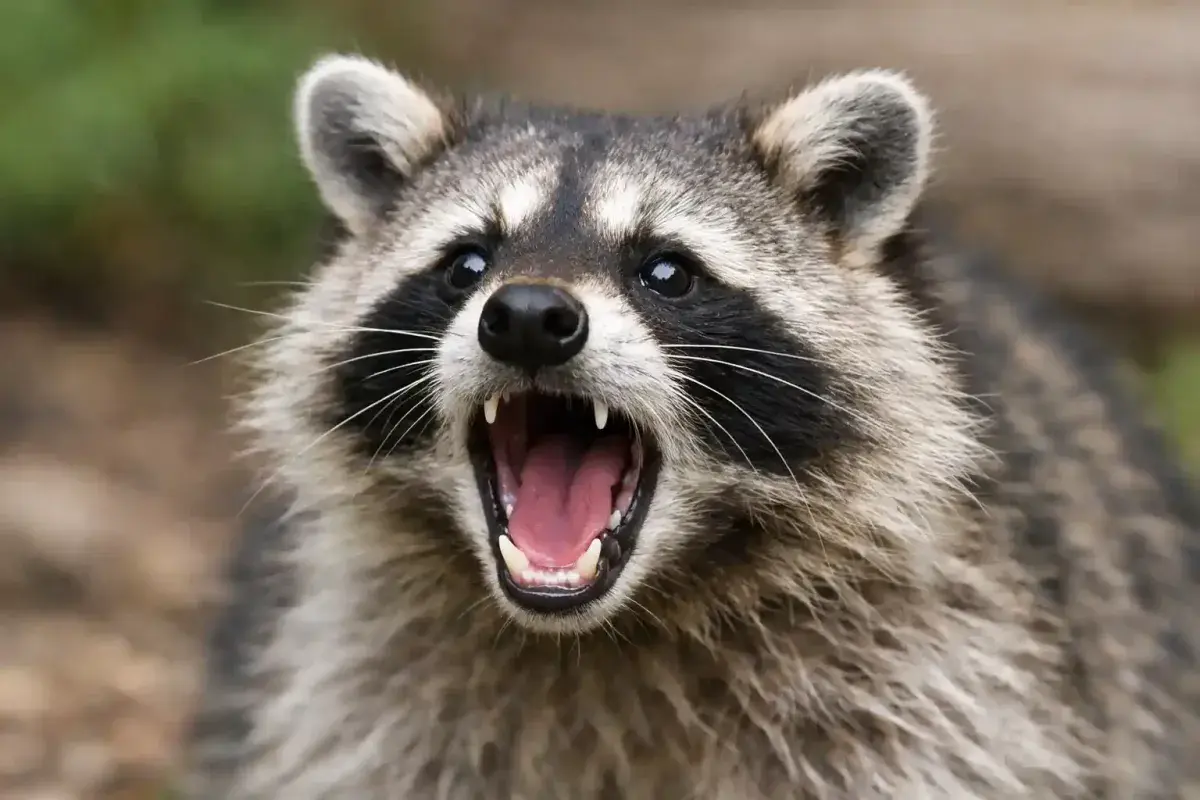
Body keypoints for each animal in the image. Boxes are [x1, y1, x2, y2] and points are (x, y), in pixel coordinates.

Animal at [184, 54, 1200, 799]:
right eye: (467, 261)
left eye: (666, 272)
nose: (527, 317)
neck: (606, 629)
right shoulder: (352, 698)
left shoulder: (939, 689)